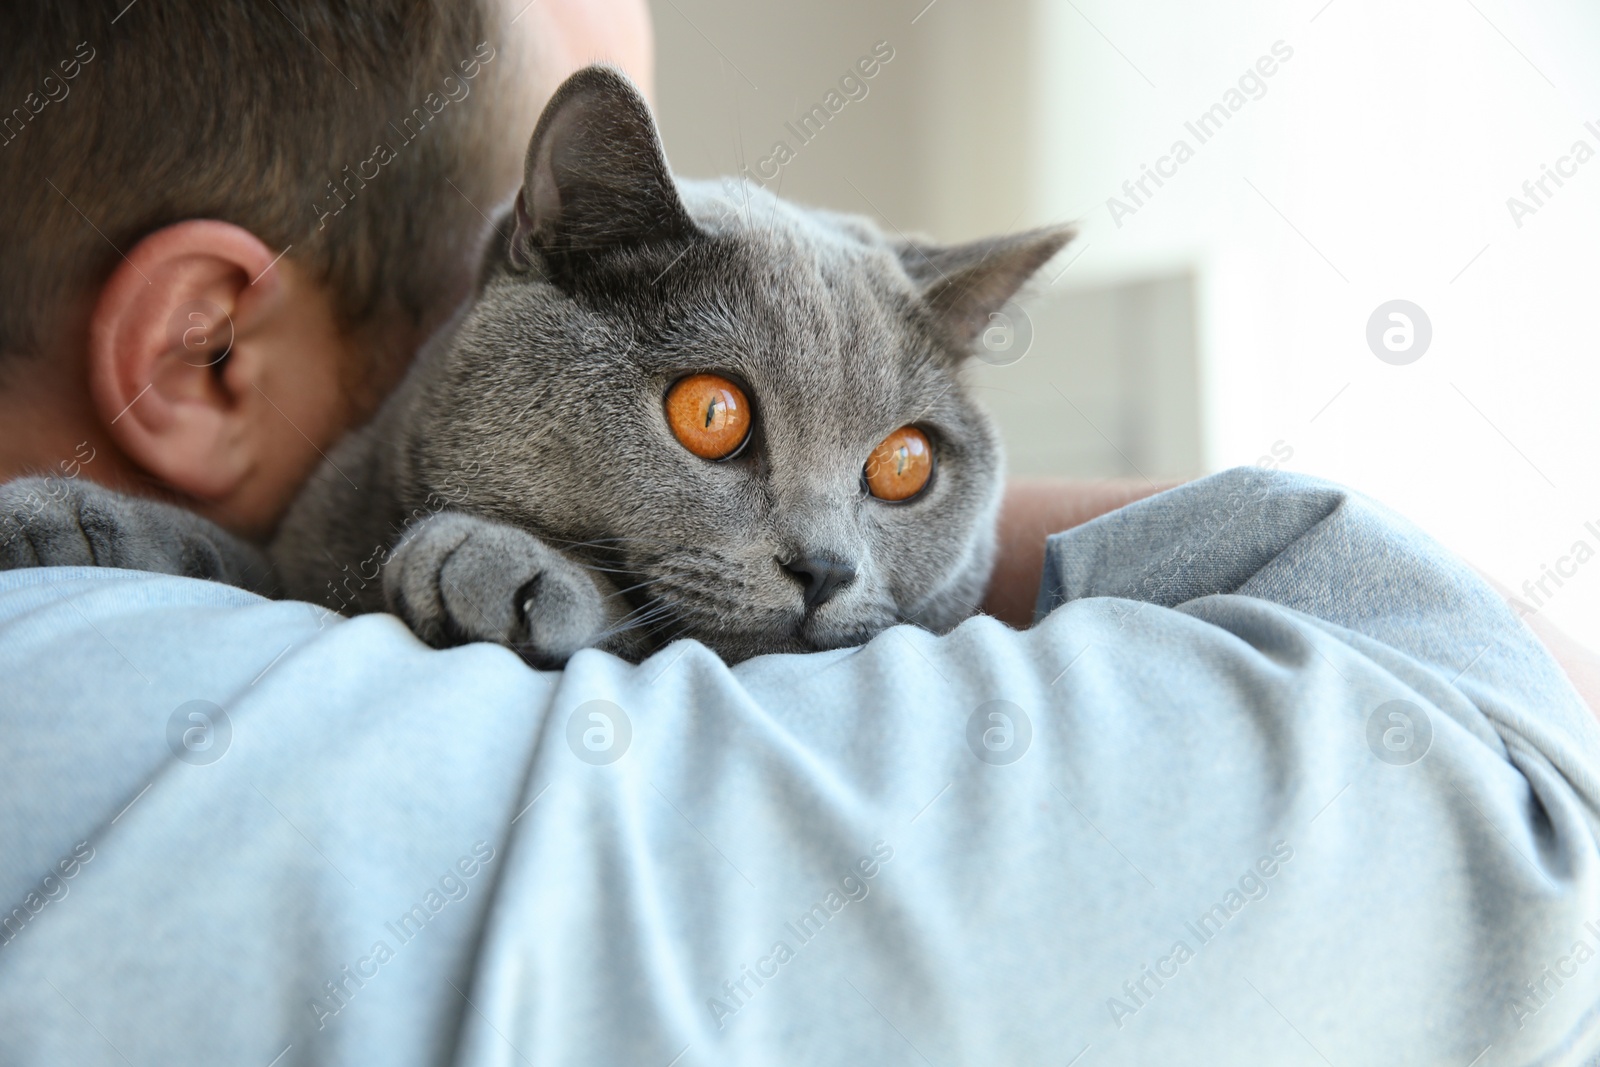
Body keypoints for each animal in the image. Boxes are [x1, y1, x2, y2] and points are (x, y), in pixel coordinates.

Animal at [3, 62, 1075, 662]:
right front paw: (66, 518)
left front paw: (501, 563)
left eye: (905, 464)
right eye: (712, 414)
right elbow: (241, 562)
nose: (824, 568)